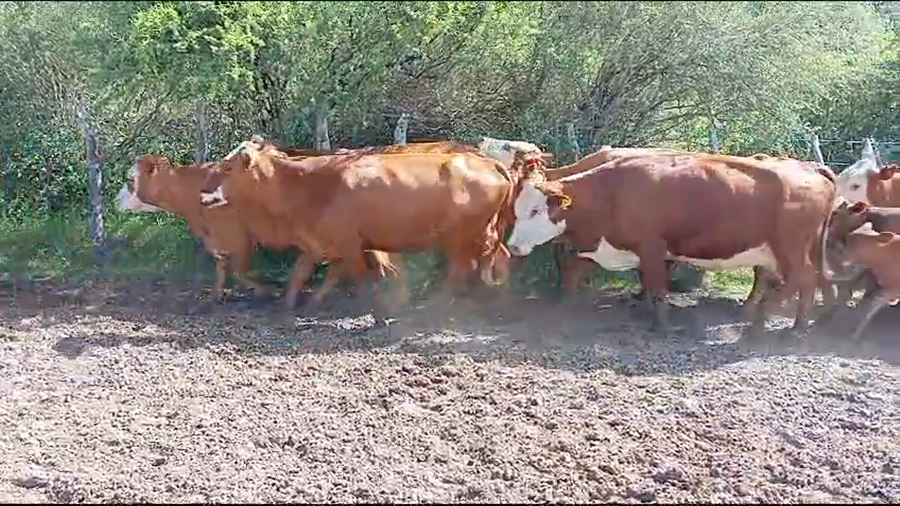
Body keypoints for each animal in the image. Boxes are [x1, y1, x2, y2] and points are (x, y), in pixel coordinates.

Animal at [117, 154, 400, 304]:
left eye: (130, 180)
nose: (115, 200)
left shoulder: (240, 237)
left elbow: (238, 269)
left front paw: (266, 290)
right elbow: (222, 268)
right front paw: (215, 297)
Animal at [198, 139, 516, 313]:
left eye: (228, 167)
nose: (203, 194)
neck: (315, 184)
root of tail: (487, 162)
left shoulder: (351, 244)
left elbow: (363, 279)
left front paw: (381, 310)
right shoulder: (321, 241)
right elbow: (303, 273)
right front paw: (292, 305)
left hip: (461, 236)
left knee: (462, 269)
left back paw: (435, 305)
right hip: (478, 236)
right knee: (494, 261)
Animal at [504, 151, 838, 338]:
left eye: (535, 211)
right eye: (516, 210)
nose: (514, 247)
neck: (614, 191)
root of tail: (810, 169)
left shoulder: (652, 247)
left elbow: (659, 288)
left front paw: (661, 326)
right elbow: (581, 267)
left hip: (790, 248)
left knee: (801, 278)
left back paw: (765, 326)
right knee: (805, 280)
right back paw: (794, 325)